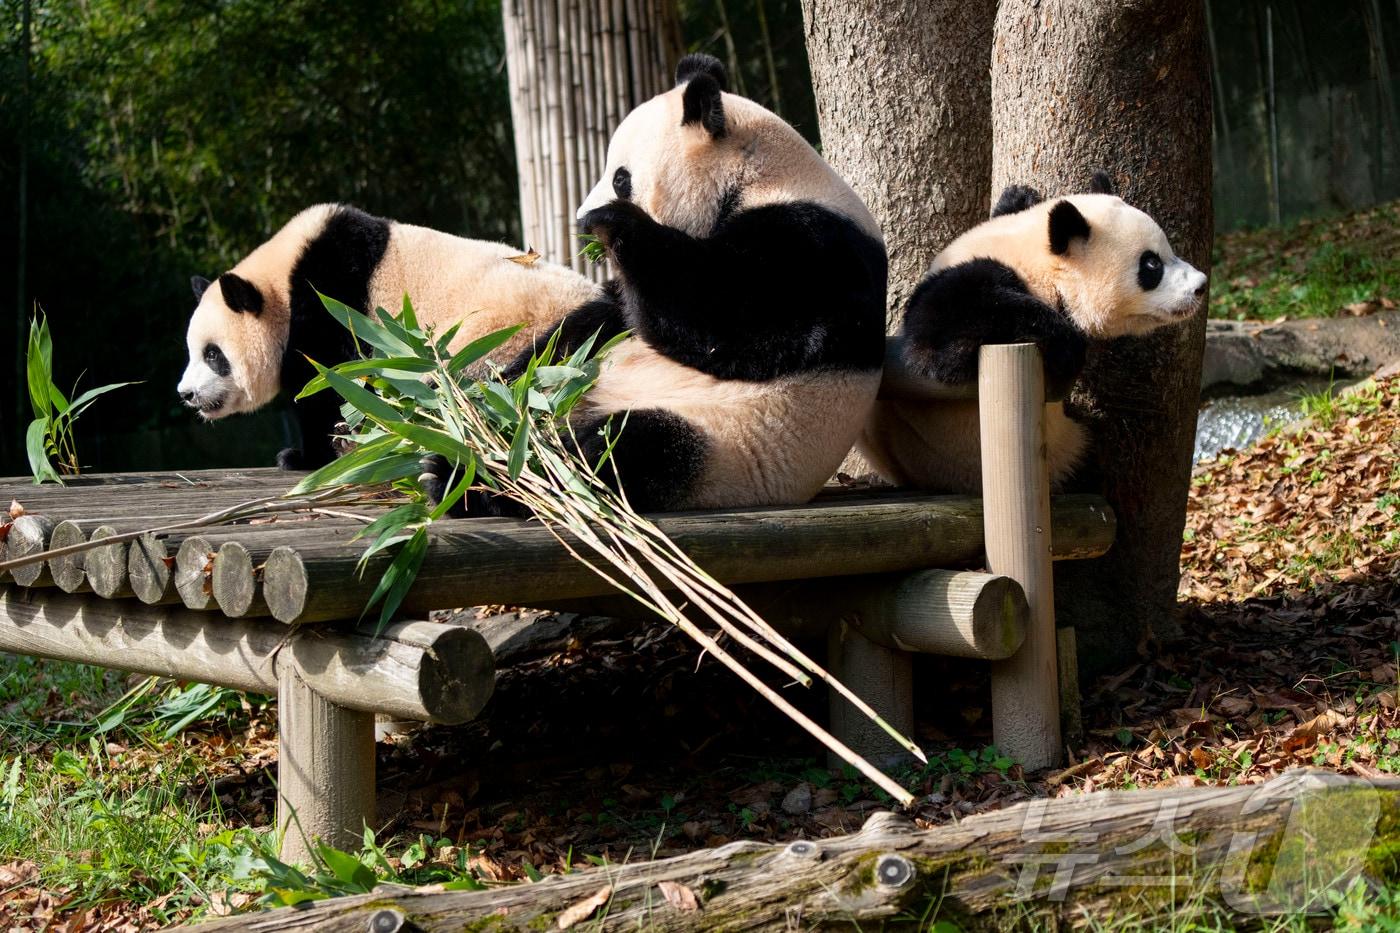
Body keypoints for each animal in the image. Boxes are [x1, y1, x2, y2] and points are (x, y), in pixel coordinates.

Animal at [176, 201, 596, 465]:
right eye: (195, 352)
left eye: (213, 355)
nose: (186, 394)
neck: (282, 278)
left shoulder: (327, 298)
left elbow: (327, 386)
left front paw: (303, 457)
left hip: (500, 344)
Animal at [856, 174, 1209, 493]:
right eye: (1151, 265)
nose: (1201, 285)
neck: (1038, 263)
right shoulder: (963, 284)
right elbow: (934, 345)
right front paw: (1066, 345)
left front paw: (1018, 194)